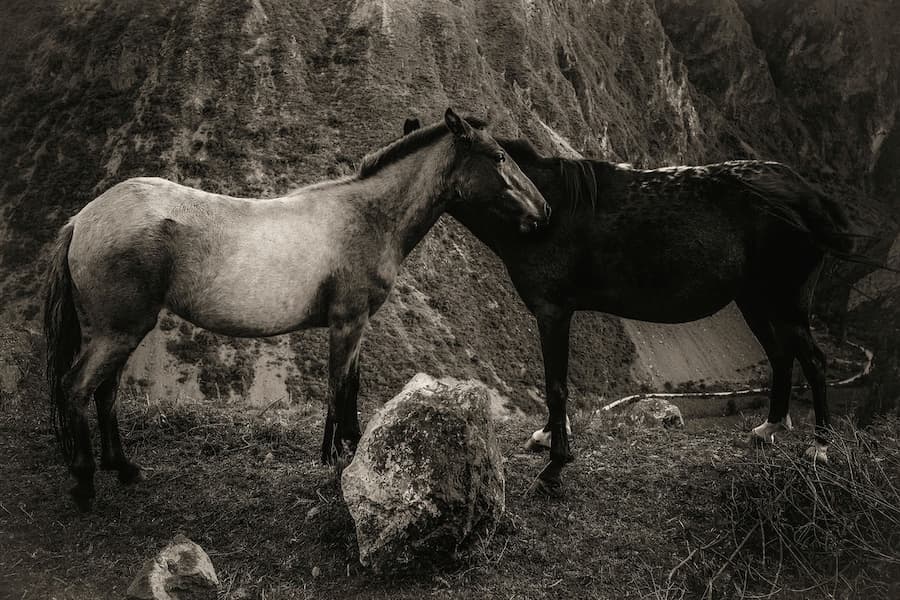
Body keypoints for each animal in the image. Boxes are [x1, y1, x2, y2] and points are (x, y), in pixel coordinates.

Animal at [43, 108, 550, 511]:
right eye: (499, 156)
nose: (543, 210)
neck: (368, 217)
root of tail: (83, 218)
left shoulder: (358, 325)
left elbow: (351, 387)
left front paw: (350, 448)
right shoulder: (347, 323)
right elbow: (338, 387)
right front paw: (335, 459)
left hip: (118, 331)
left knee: (105, 392)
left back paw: (124, 468)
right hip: (118, 331)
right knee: (77, 388)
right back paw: (85, 483)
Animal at [402, 117, 865, 496]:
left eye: (500, 158)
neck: (547, 209)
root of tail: (805, 192)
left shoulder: (553, 311)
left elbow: (556, 385)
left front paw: (555, 465)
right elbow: (556, 383)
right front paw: (547, 437)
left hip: (785, 301)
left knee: (814, 360)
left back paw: (820, 446)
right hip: (754, 300)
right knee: (782, 355)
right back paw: (770, 427)